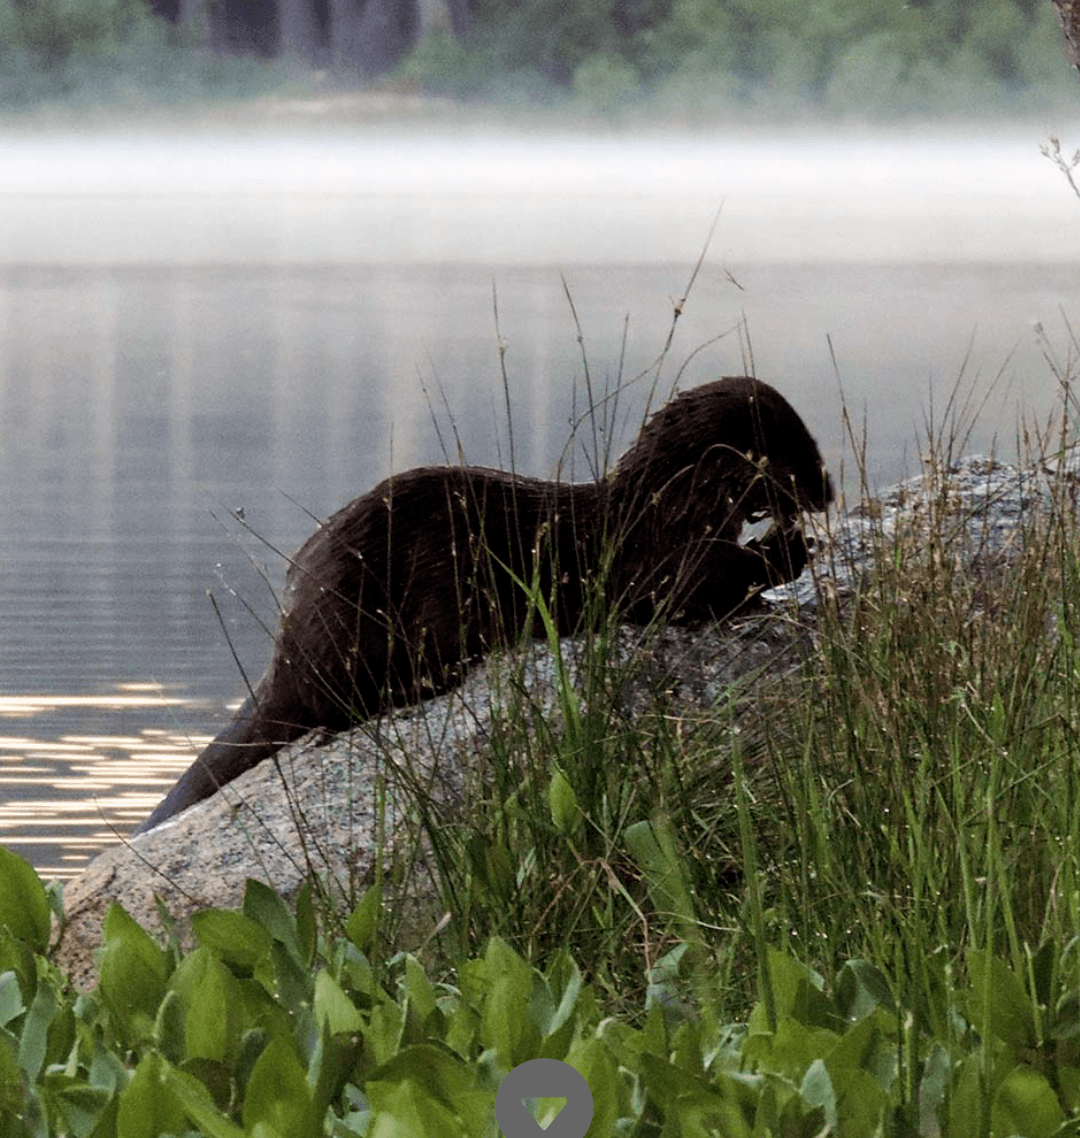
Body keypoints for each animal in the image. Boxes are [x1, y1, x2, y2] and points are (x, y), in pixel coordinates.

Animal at [138, 377, 832, 832]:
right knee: (341, 706)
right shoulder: (652, 558)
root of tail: (287, 649)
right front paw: (787, 547)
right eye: (799, 454)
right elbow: (696, 588)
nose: (827, 490)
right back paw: (435, 677)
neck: (660, 506)